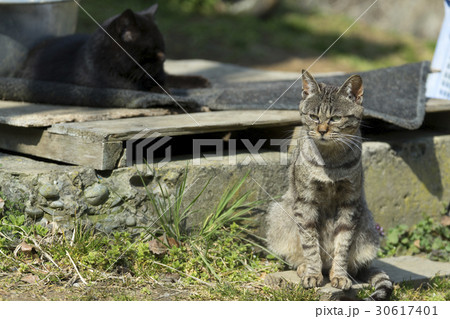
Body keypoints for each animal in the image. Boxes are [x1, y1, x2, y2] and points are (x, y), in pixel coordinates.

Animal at [15, 5, 209, 92]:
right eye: (152, 51)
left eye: (162, 48)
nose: (163, 57)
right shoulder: (117, 84)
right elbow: (153, 86)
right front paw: (167, 90)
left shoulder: (160, 75)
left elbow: (171, 77)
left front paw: (200, 81)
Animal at [266, 69, 392, 302]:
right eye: (314, 117)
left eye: (335, 118)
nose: (322, 130)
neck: (330, 161)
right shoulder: (305, 202)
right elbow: (310, 244)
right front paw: (312, 274)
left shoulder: (349, 203)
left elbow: (342, 245)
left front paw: (339, 276)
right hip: (280, 213)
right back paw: (305, 268)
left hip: (367, 225)